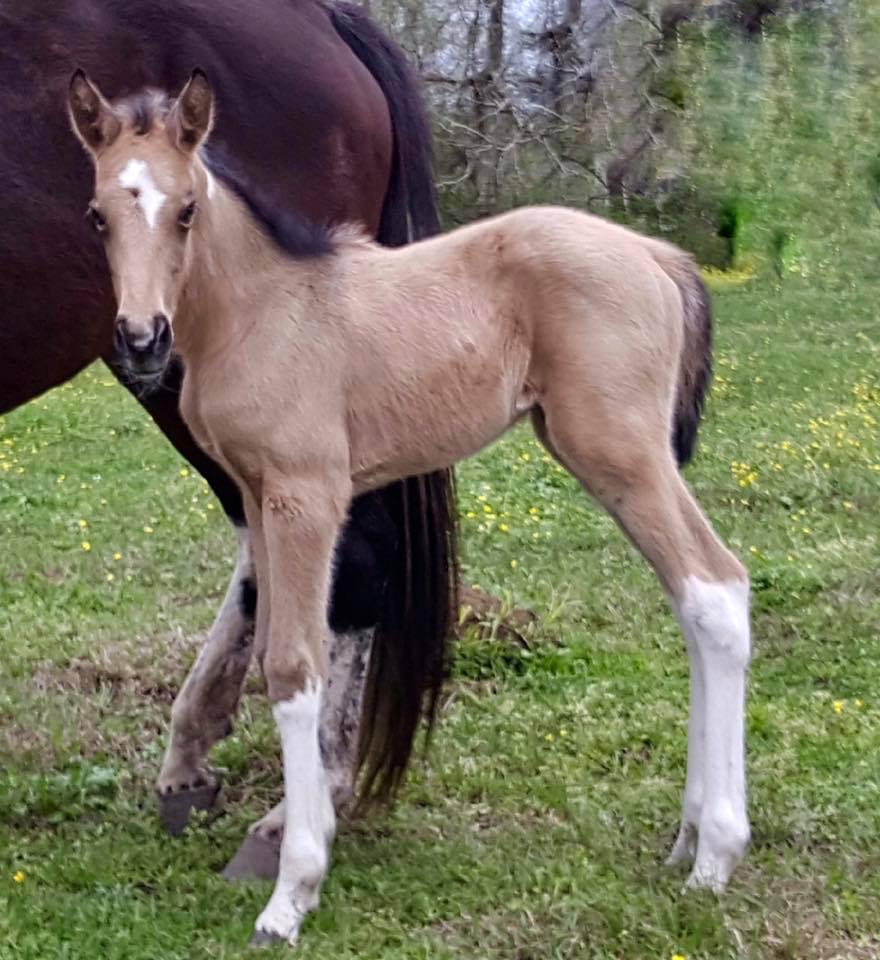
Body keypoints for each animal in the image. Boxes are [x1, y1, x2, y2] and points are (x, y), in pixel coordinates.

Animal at [72, 73, 752, 944]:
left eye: (187, 208)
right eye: (99, 214)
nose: (142, 338)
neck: (262, 311)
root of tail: (660, 257)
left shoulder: (307, 495)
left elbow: (295, 665)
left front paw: (291, 892)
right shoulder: (257, 495)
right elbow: (268, 651)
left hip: (620, 448)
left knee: (714, 588)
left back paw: (716, 856)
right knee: (692, 596)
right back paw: (689, 838)